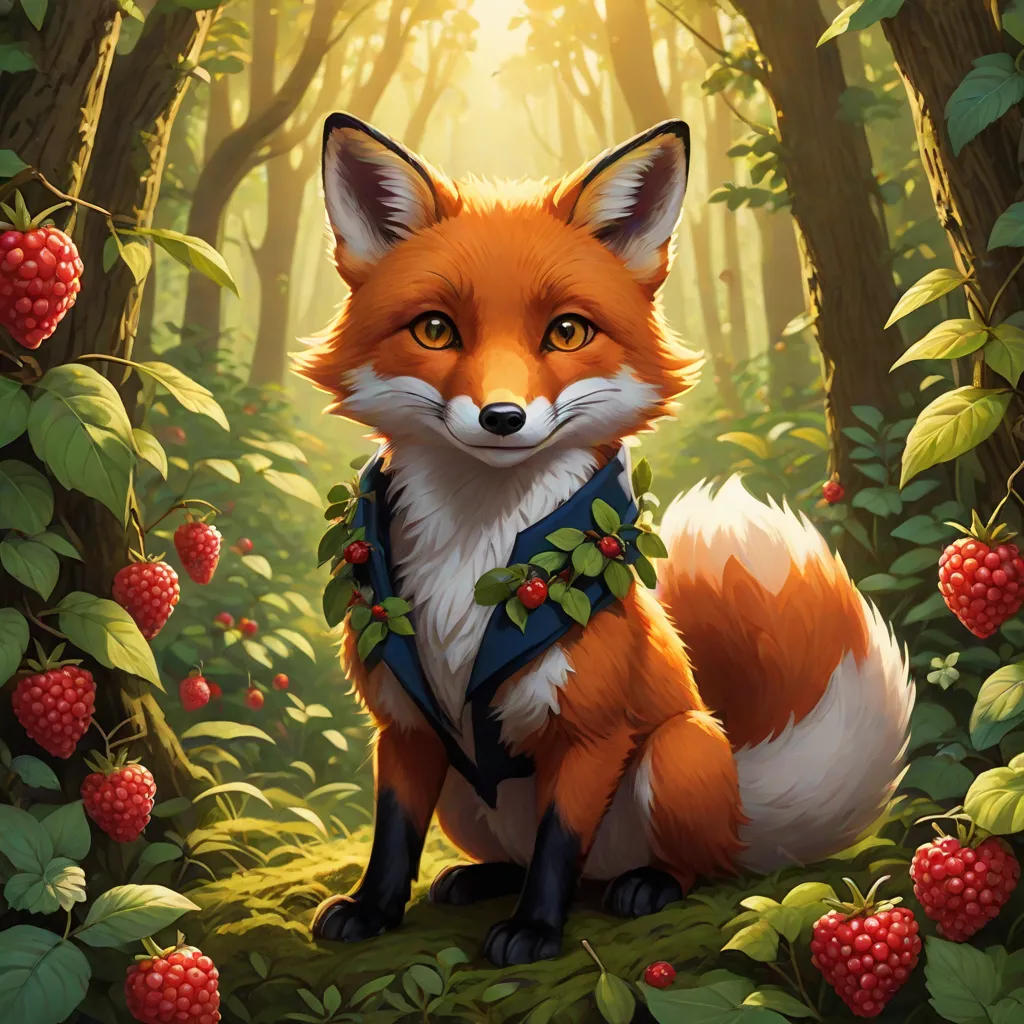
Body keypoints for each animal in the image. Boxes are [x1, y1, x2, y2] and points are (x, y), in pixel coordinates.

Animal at [293, 112, 914, 967]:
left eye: (566, 331)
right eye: (435, 330)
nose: (502, 418)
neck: (474, 558)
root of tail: (745, 812)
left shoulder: (592, 731)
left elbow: (558, 844)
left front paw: (534, 931)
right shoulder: (407, 724)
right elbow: (393, 833)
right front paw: (373, 909)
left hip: (679, 749)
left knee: (685, 866)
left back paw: (647, 884)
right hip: (468, 797)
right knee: (518, 851)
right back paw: (480, 877)